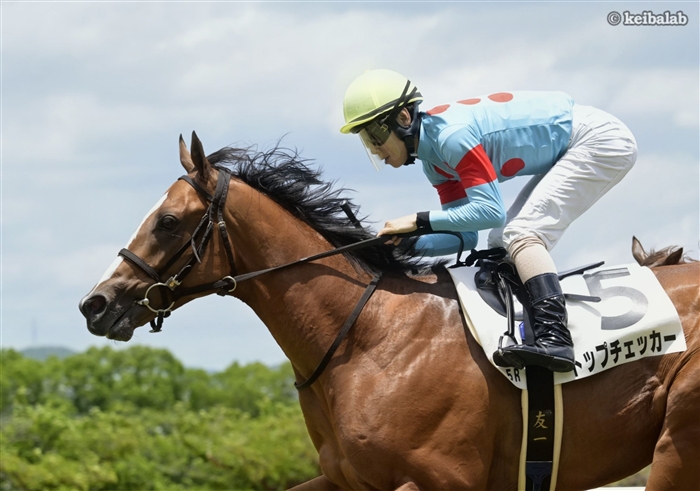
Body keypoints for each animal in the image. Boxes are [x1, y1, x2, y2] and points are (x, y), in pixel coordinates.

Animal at [79, 133, 700, 491]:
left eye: (167, 221)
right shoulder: (347, 480)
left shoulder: (440, 480)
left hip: (677, 447)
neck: (365, 338)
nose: (96, 303)